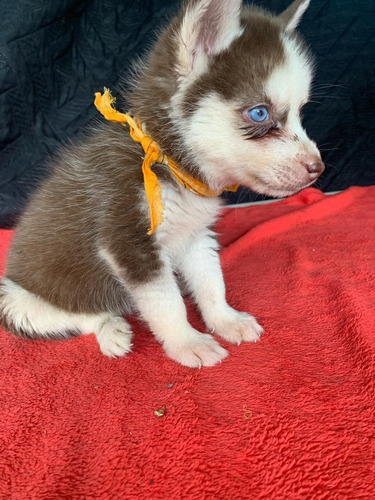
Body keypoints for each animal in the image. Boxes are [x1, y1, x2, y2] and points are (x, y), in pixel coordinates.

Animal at [0, 0, 324, 368]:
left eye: (300, 112)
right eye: (260, 113)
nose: (318, 168)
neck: (167, 163)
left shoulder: (196, 236)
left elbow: (211, 281)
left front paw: (225, 319)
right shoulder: (129, 243)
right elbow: (167, 303)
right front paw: (187, 341)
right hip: (15, 300)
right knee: (82, 314)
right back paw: (110, 330)